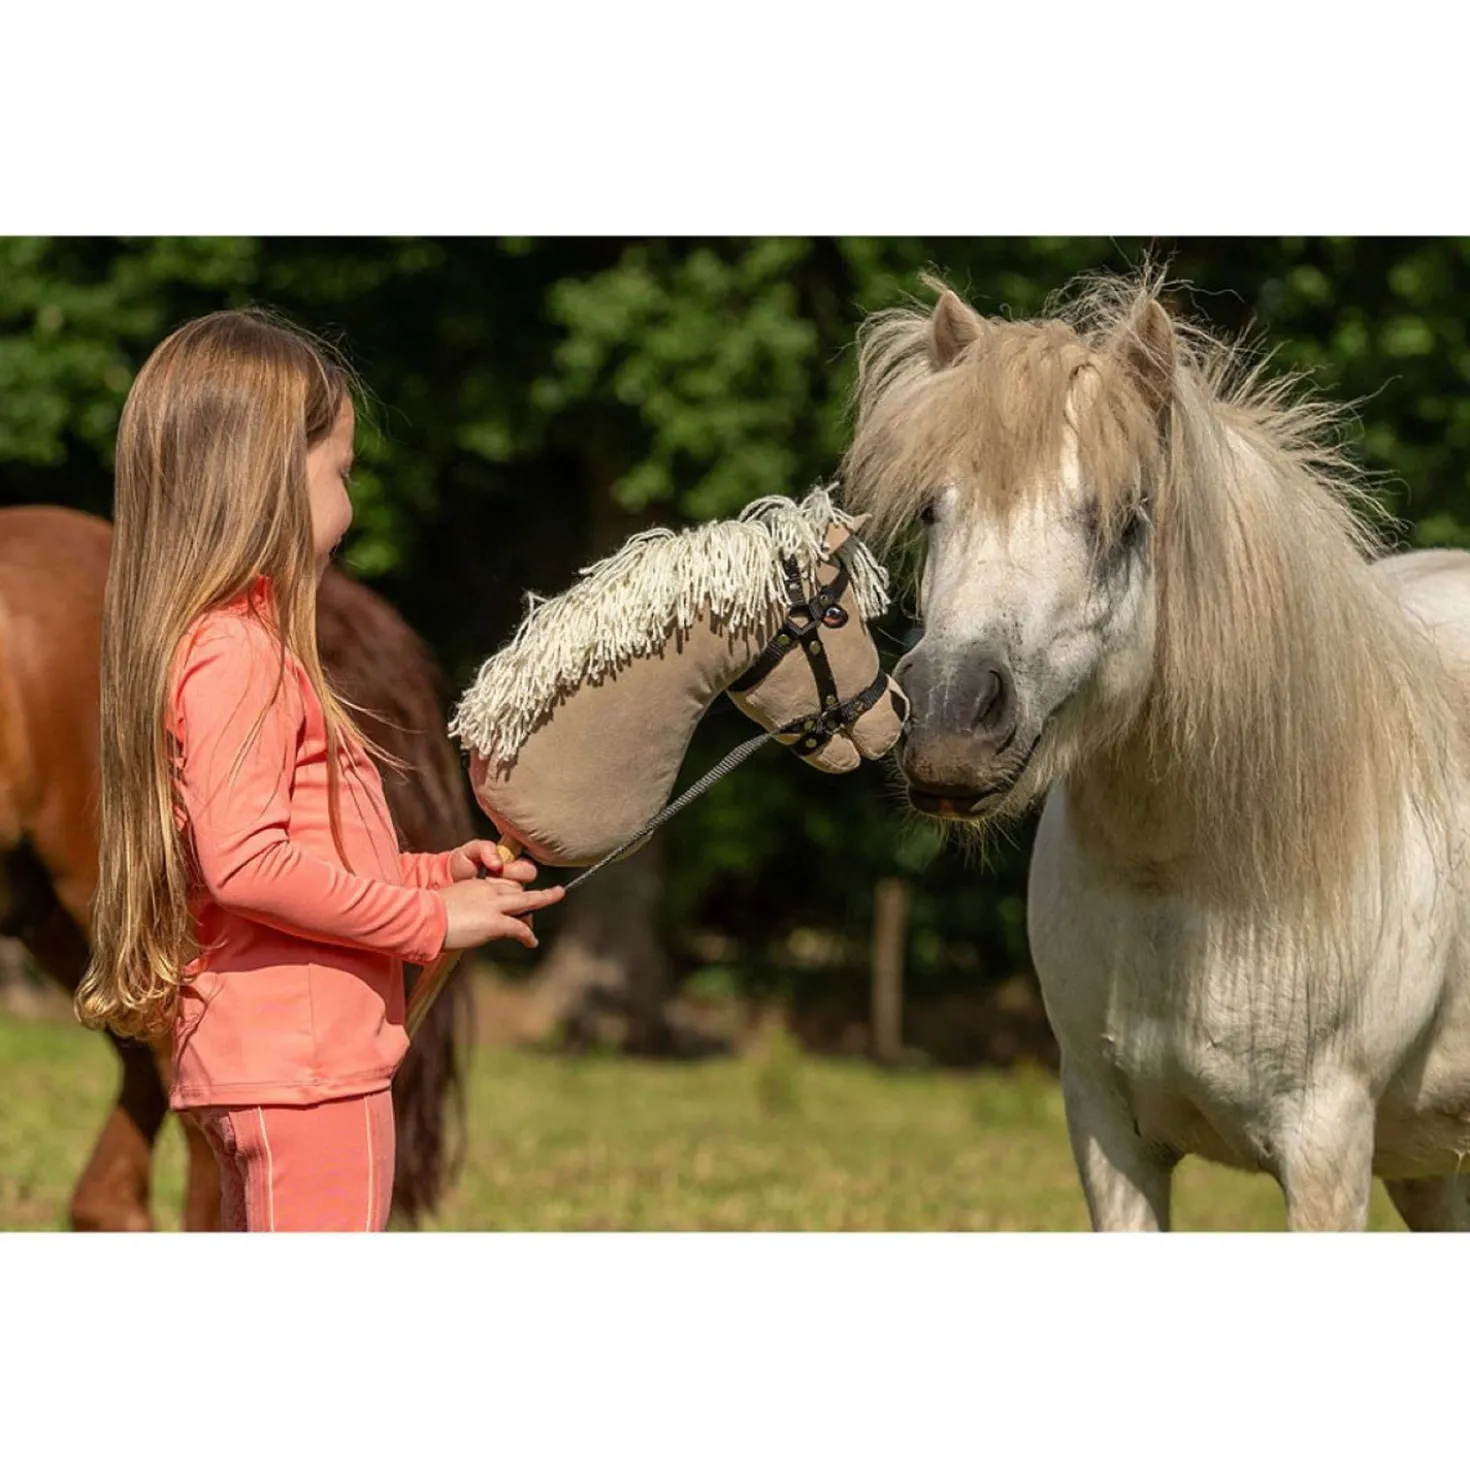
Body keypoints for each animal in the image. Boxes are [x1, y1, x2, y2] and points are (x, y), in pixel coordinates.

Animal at [842, 270, 1470, 1231]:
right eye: (932, 511)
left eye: (1124, 518)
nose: (949, 721)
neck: (1188, 882)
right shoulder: (1107, 1131)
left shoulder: (1328, 1147)